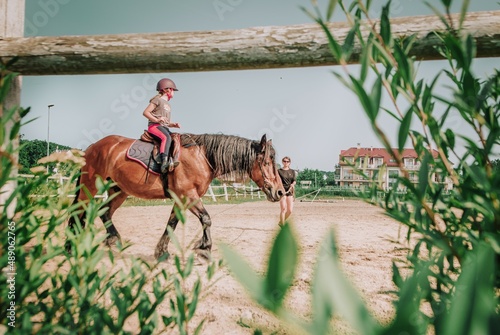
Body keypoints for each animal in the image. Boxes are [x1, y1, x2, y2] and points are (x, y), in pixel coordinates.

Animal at [67, 133, 286, 260]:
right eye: (267, 162)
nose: (280, 192)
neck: (202, 157)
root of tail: (91, 147)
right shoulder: (189, 195)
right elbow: (206, 219)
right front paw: (204, 248)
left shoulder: (181, 199)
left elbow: (171, 224)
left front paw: (161, 251)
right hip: (89, 188)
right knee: (78, 212)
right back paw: (70, 248)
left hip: (119, 190)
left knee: (104, 212)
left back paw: (113, 240)